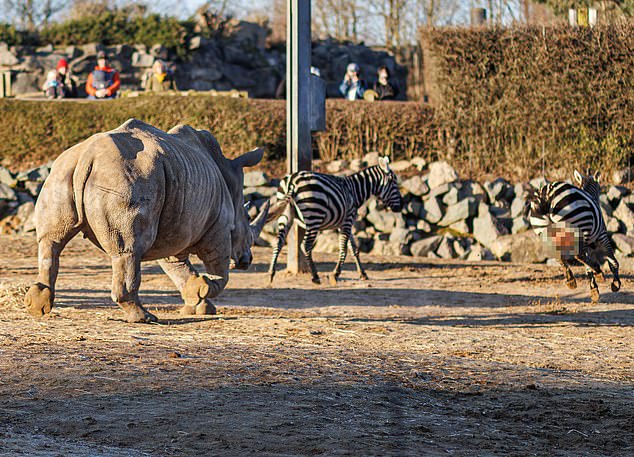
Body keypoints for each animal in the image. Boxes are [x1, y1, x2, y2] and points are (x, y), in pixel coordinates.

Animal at [23, 118, 266, 324]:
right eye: (248, 218)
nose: (247, 260)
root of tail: (87, 156)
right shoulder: (219, 229)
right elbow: (220, 272)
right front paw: (201, 290)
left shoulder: (174, 227)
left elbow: (178, 269)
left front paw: (196, 303)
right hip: (129, 177)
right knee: (130, 250)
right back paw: (144, 317)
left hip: (62, 172)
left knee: (51, 241)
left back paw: (37, 305)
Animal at [266, 158, 400, 284]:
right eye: (394, 183)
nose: (401, 206)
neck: (354, 191)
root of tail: (291, 182)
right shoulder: (347, 220)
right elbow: (344, 248)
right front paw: (335, 274)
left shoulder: (344, 224)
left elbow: (354, 249)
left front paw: (363, 274)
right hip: (314, 215)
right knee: (306, 245)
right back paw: (315, 276)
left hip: (285, 215)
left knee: (278, 242)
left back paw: (271, 274)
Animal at [524, 169, 620, 302]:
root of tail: (547, 196)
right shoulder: (602, 235)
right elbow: (611, 258)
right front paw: (616, 283)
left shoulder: (588, 244)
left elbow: (587, 266)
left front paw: (594, 289)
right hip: (579, 225)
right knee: (578, 255)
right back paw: (598, 272)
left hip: (544, 230)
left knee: (559, 255)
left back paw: (571, 279)